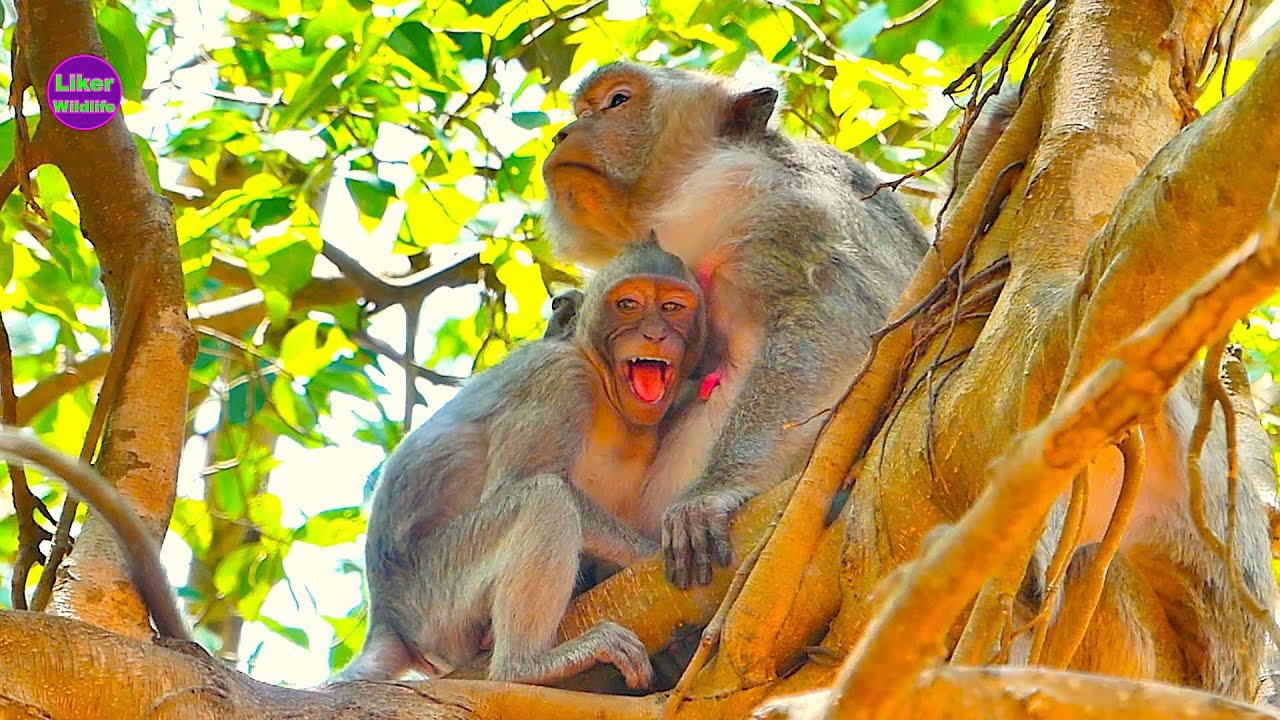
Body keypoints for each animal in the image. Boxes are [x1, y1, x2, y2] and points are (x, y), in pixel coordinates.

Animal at [335, 235, 706, 689]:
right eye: (629, 304)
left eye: (672, 307)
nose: (654, 334)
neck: (601, 380)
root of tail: (387, 619)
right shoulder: (557, 378)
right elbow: (519, 482)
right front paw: (651, 551)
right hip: (435, 595)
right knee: (542, 498)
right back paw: (526, 665)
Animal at [542, 62, 930, 589]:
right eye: (580, 111)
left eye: (617, 101)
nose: (562, 134)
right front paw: (568, 313)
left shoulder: (791, 208)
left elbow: (840, 317)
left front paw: (717, 489)